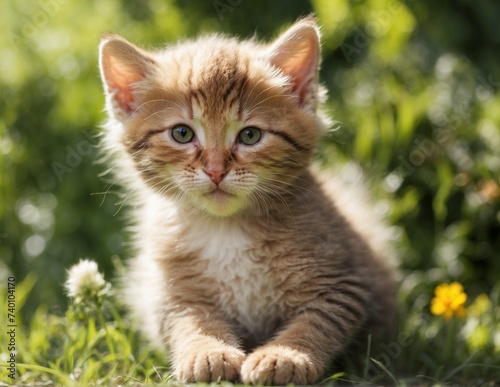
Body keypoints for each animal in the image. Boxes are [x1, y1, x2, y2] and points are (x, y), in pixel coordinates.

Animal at [97, 16, 394, 386]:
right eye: (182, 133)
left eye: (250, 135)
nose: (215, 170)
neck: (227, 230)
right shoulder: (171, 296)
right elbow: (189, 323)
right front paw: (207, 352)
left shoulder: (343, 285)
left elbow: (316, 322)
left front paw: (285, 356)